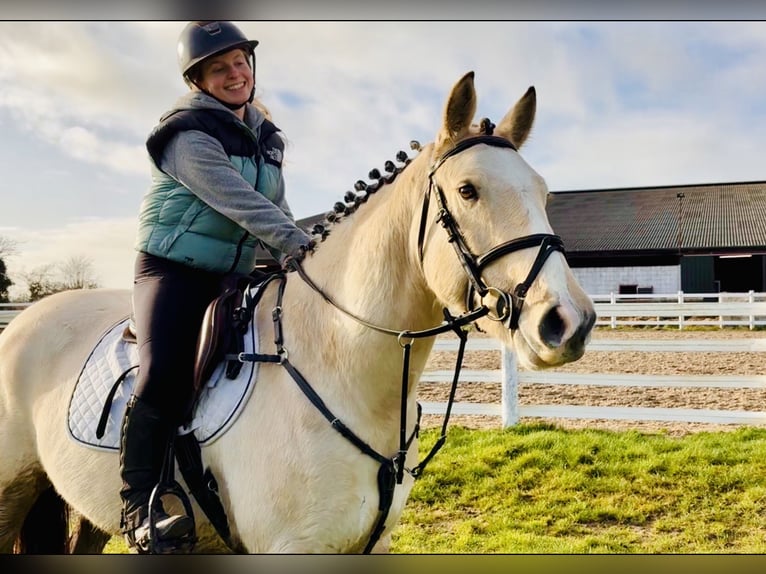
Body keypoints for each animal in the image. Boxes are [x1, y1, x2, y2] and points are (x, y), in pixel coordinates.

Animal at [0, 71, 596, 554]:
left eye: (543, 192)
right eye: (468, 190)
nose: (568, 323)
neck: (338, 364)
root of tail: (26, 318)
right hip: (11, 495)